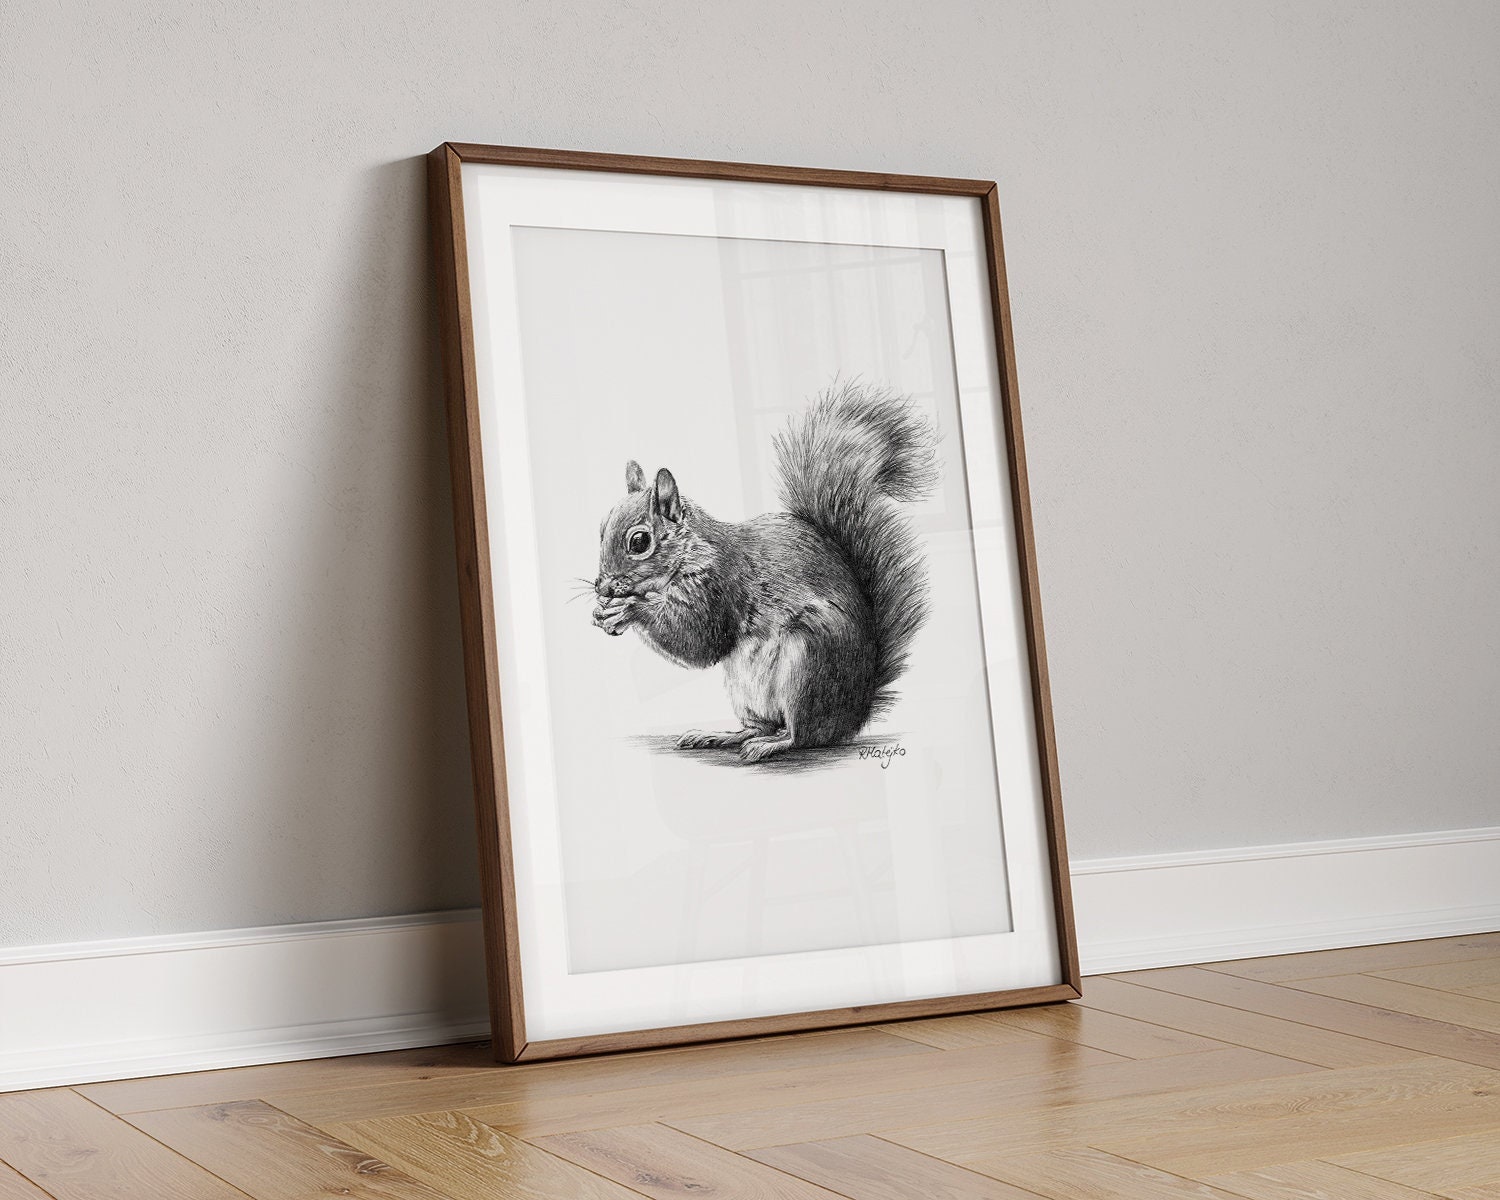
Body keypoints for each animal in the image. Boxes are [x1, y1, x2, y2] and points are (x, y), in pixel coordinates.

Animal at [592, 381, 939, 763]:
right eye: (601, 529)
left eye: (639, 541)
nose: (602, 587)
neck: (692, 551)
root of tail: (853, 715)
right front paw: (604, 614)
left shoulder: (721, 584)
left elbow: (699, 640)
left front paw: (629, 609)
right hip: (746, 688)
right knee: (762, 724)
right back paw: (722, 735)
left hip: (808, 667)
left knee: (805, 736)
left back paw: (773, 744)